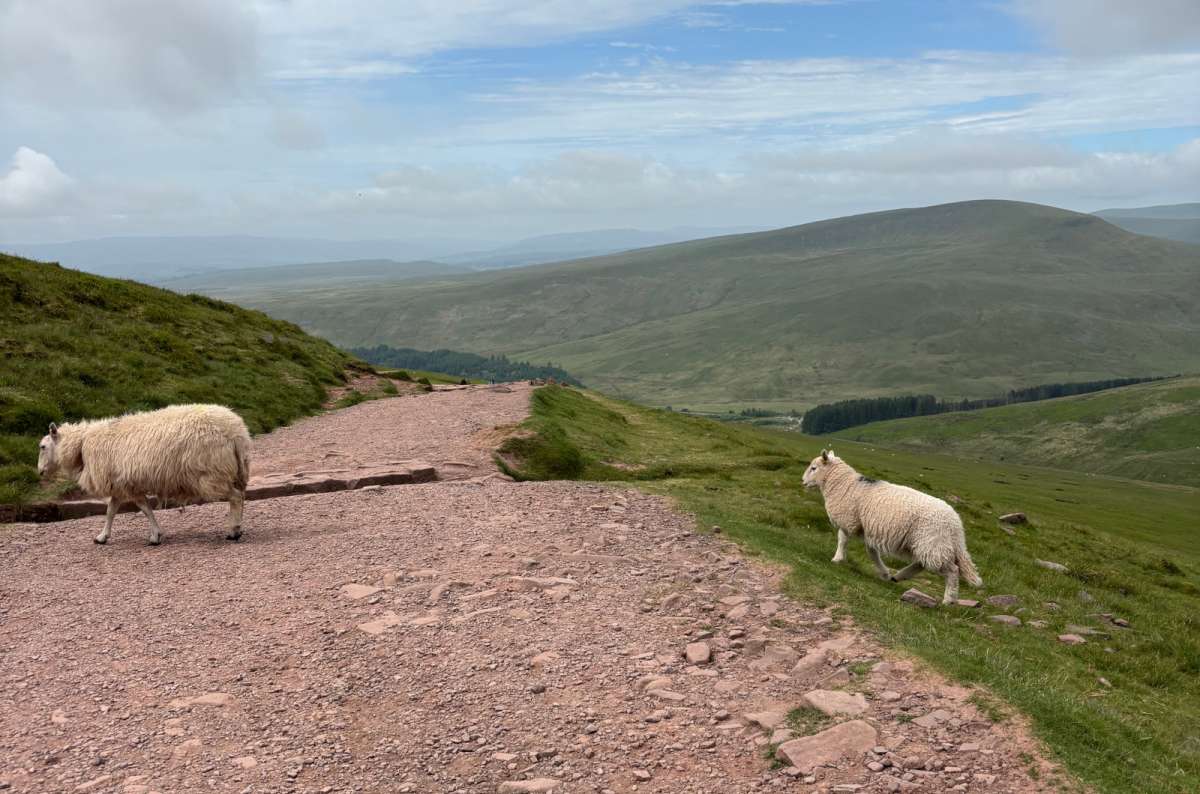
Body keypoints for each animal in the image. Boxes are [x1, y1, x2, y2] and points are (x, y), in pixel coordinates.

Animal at [37, 404, 251, 546]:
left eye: (42, 446)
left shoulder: (127, 485)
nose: (39, 471)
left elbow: (144, 509)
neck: (80, 445)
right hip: (229, 472)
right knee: (240, 496)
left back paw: (233, 531)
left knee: (235, 497)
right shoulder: (120, 485)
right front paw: (102, 537)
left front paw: (155, 536)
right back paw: (238, 527)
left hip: (212, 475)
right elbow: (112, 511)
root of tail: (236, 432)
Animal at [802, 449, 982, 604]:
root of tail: (956, 525)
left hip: (932, 542)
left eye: (814, 468)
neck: (844, 484)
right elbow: (872, 552)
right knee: (922, 563)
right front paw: (884, 573)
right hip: (929, 545)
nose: (803, 482)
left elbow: (842, 540)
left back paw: (949, 600)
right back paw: (900, 576)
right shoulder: (867, 529)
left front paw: (837, 559)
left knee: (952, 570)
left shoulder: (849, 520)